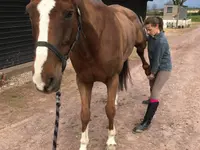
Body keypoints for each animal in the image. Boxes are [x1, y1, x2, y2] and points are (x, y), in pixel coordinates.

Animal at [25, 0, 149, 149]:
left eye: (69, 13)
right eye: (29, 13)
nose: (42, 79)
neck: (96, 41)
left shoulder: (111, 78)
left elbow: (110, 110)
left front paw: (111, 140)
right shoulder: (83, 81)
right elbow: (85, 114)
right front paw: (83, 144)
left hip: (141, 45)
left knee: (144, 61)